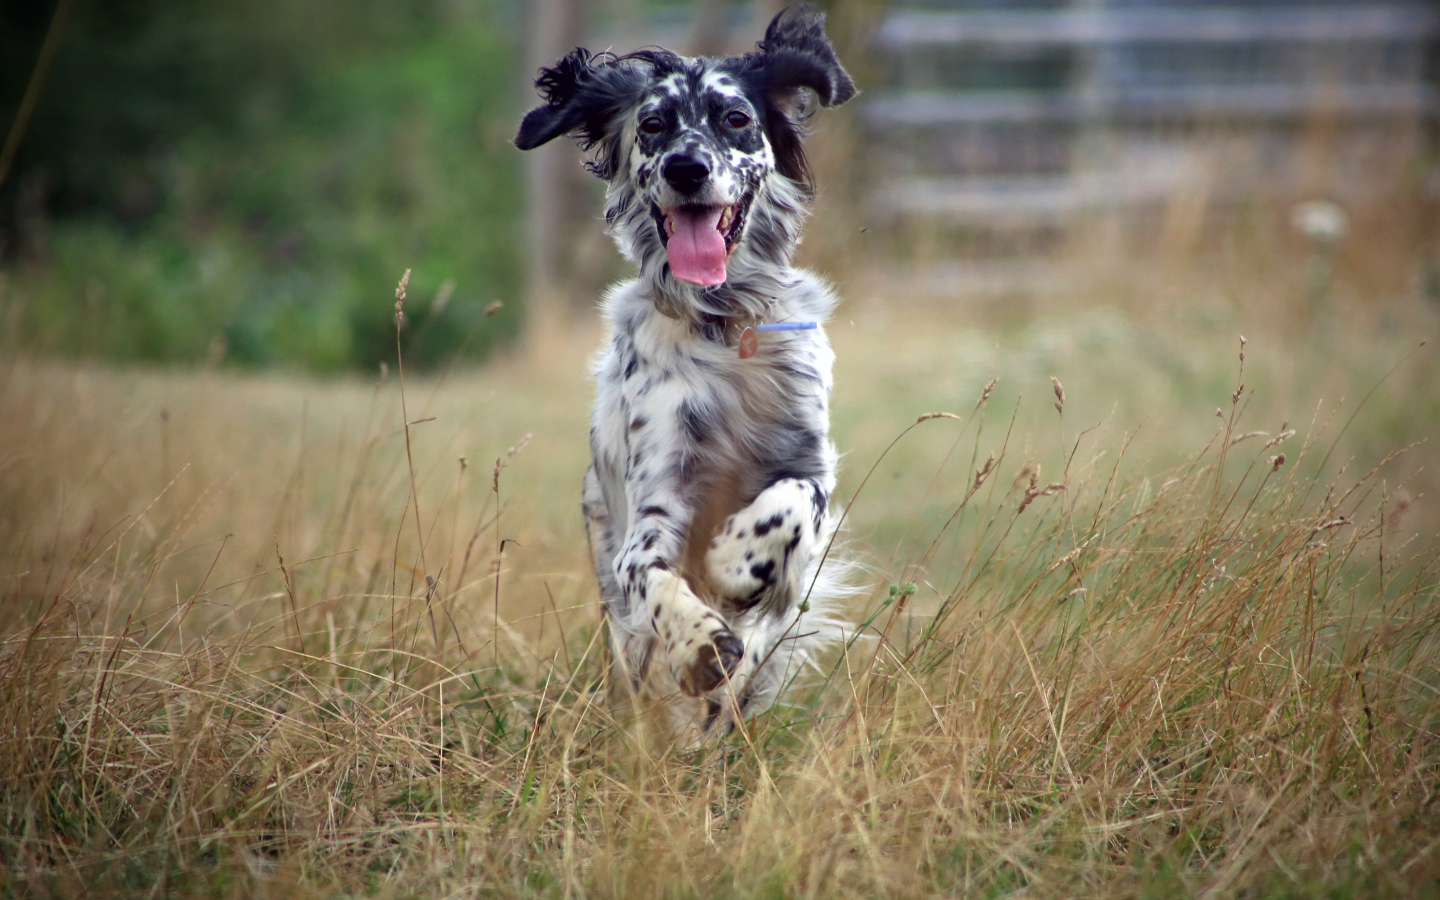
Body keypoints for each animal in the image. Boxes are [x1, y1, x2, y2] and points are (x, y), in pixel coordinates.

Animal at [518, 5, 852, 737]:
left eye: (735, 117)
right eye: (652, 125)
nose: (687, 166)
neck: (724, 326)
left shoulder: (810, 465)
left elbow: (792, 506)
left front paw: (734, 561)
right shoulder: (655, 507)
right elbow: (654, 576)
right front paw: (699, 641)